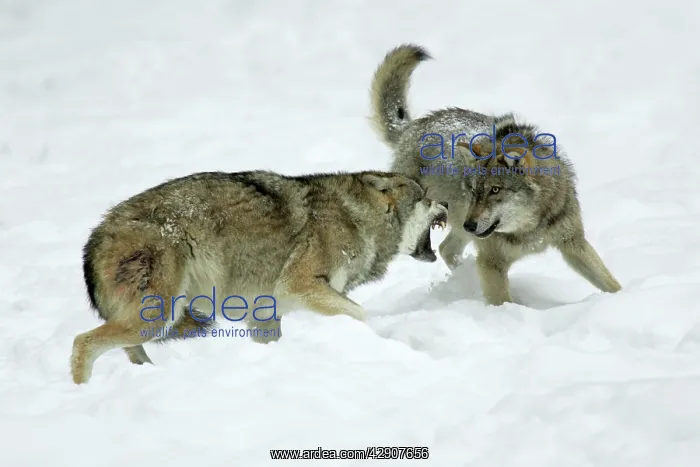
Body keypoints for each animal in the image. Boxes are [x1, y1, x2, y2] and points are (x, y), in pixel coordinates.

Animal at [71, 170, 447, 384]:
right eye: (426, 198)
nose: (446, 203)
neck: (357, 218)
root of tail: (97, 234)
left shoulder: (264, 312)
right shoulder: (301, 286)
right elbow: (360, 313)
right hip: (158, 316)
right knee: (82, 343)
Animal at [370, 44, 621, 306]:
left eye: (495, 190)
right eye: (473, 190)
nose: (470, 224)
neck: (529, 230)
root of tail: (411, 127)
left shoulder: (574, 244)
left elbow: (610, 282)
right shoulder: (492, 263)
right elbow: (501, 302)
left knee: (447, 250)